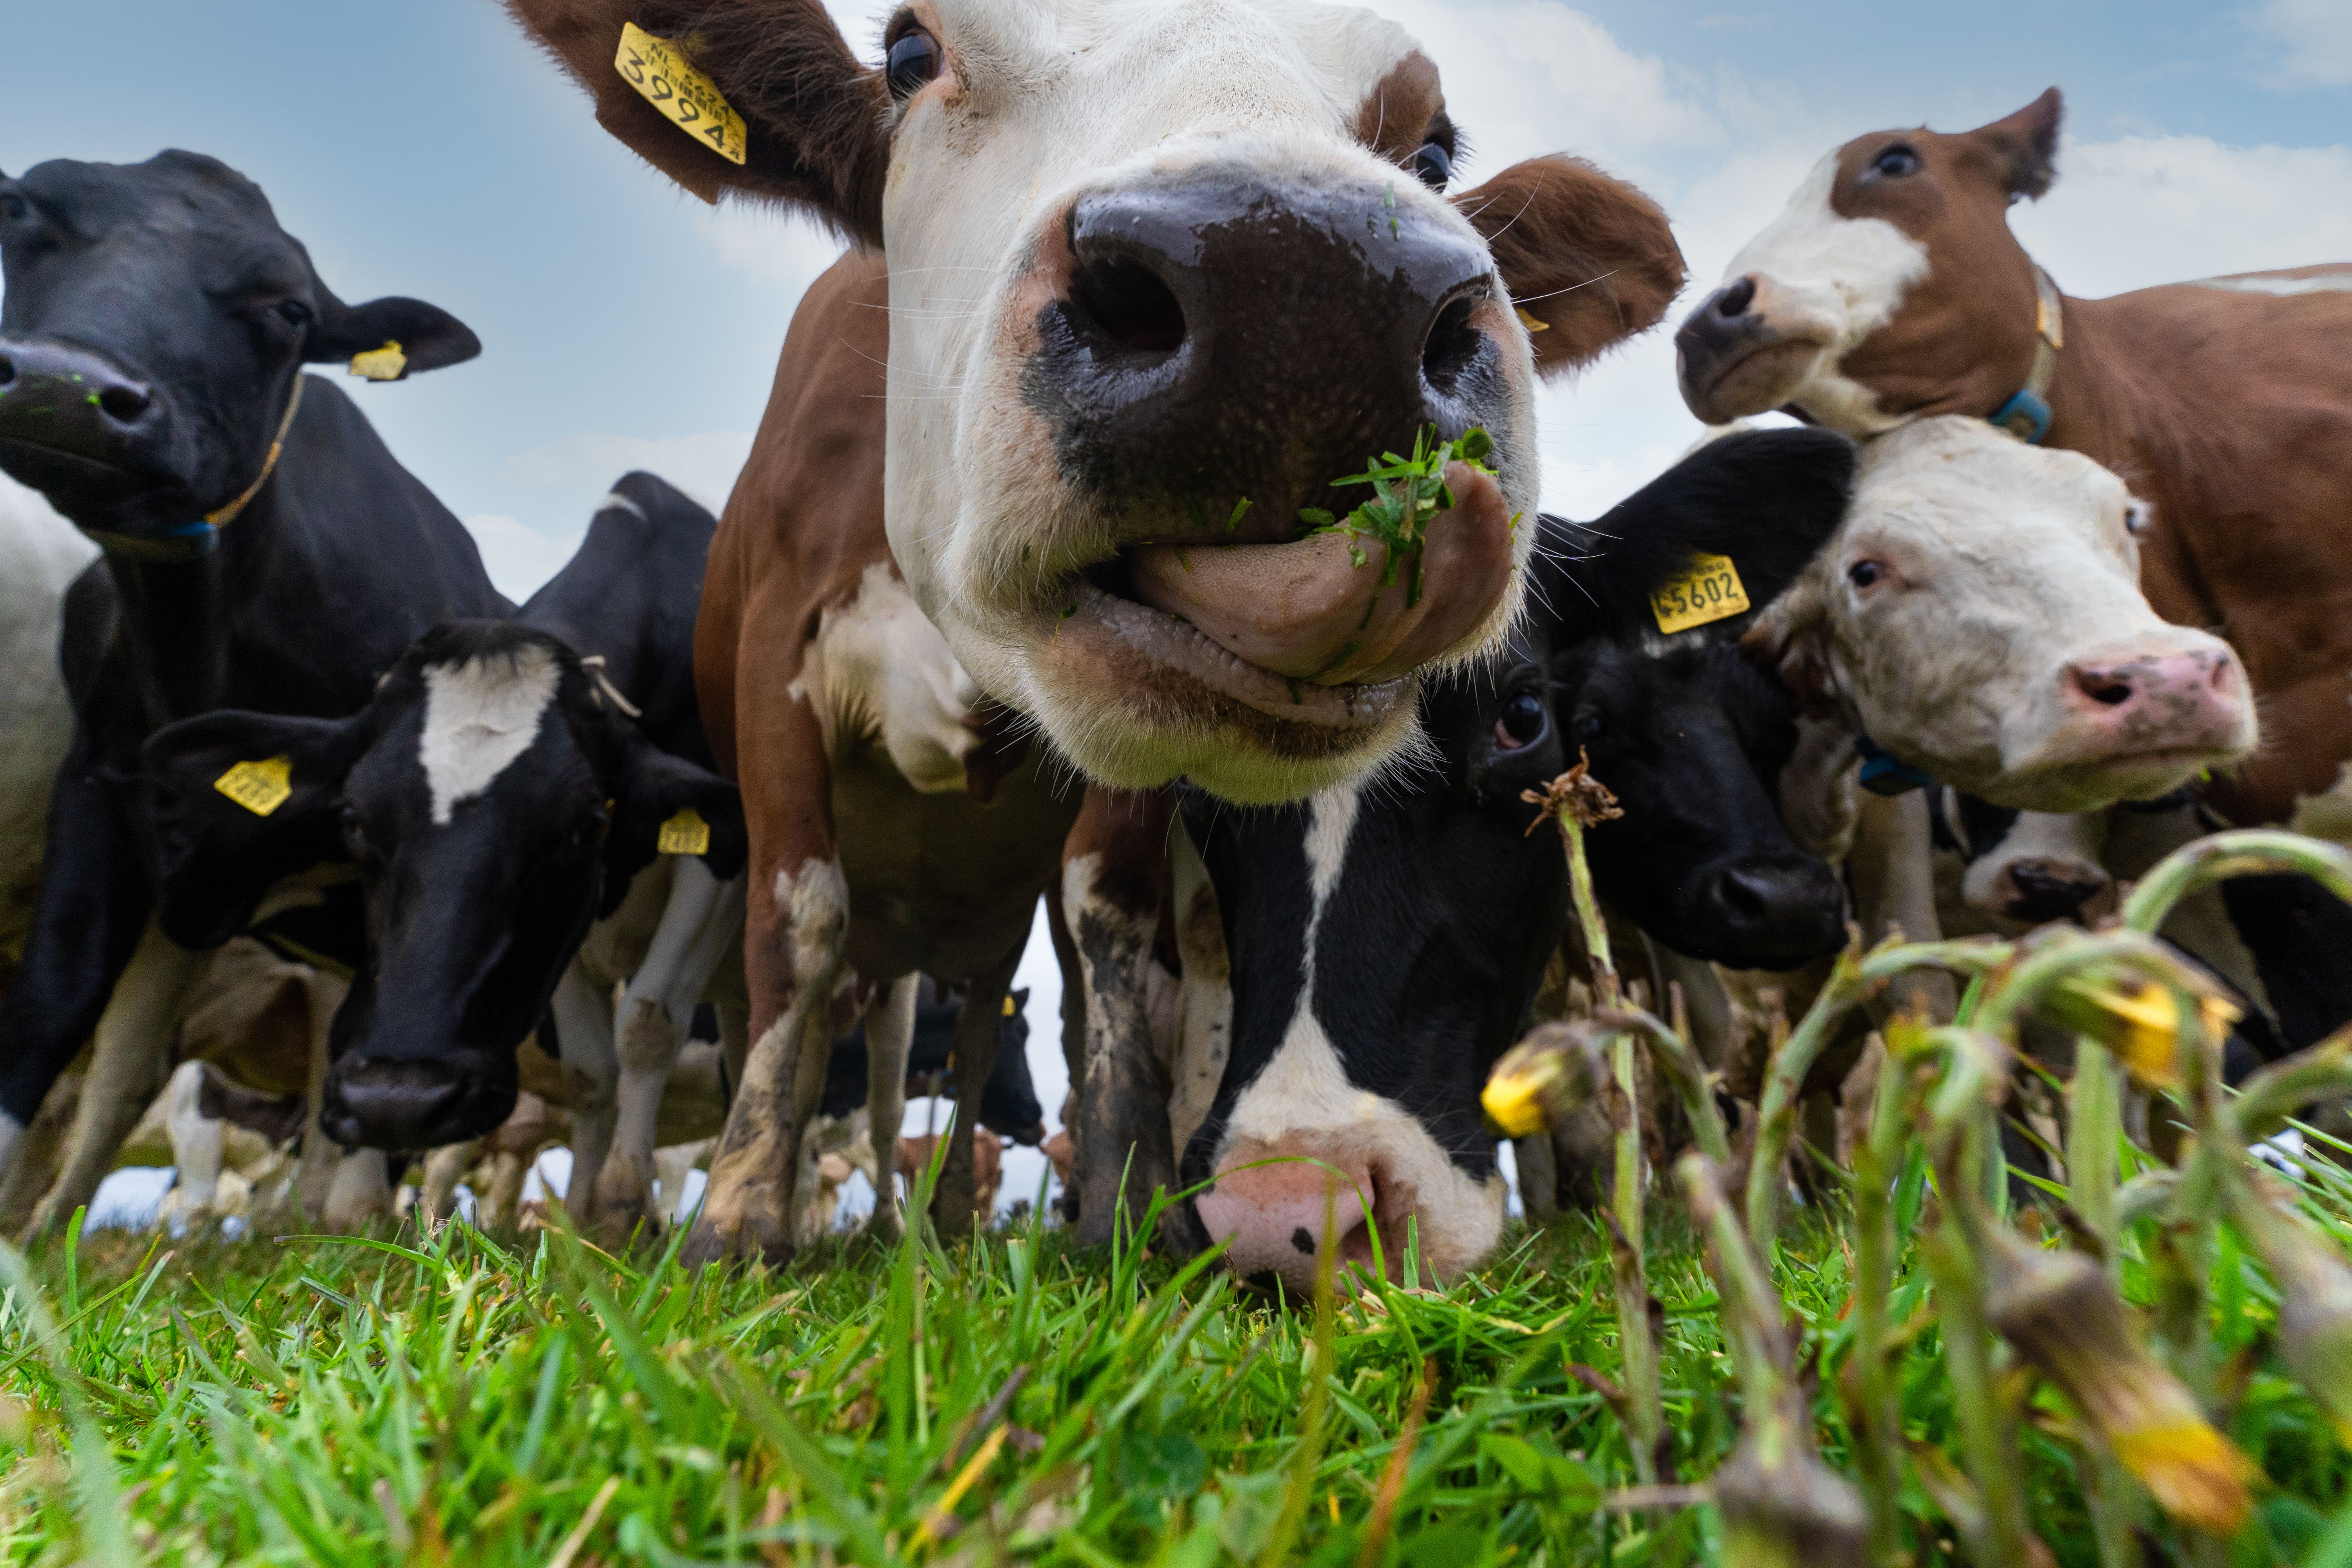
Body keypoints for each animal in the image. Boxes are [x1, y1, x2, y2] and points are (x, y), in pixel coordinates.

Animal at [0, 150, 507, 1224]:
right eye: (22, 212)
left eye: (289, 309)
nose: (68, 387)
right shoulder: (101, 792)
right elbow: (56, 1001)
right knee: (125, 1070)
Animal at [141, 472, 750, 1236]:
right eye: (352, 820)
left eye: (583, 827)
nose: (398, 1099)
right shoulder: (566, 935)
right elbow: (590, 1070)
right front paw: (581, 1220)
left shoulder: (715, 863)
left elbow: (647, 1024)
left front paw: (621, 1212)